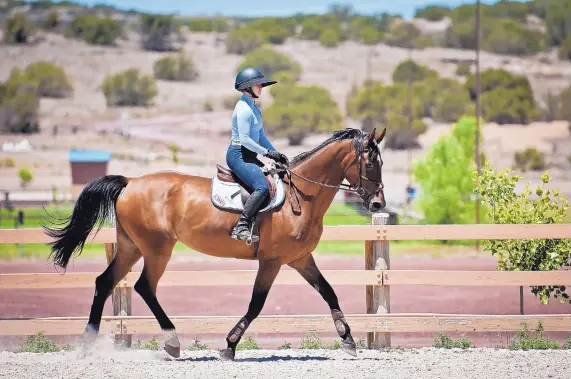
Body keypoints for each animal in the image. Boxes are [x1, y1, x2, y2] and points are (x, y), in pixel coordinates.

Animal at [42, 126, 386, 360]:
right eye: (370, 165)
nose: (378, 204)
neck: (300, 197)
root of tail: (130, 183)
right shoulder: (272, 261)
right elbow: (256, 304)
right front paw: (230, 345)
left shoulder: (301, 259)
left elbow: (328, 292)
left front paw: (348, 339)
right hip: (157, 249)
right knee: (144, 287)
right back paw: (172, 342)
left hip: (131, 247)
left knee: (105, 282)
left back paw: (88, 343)